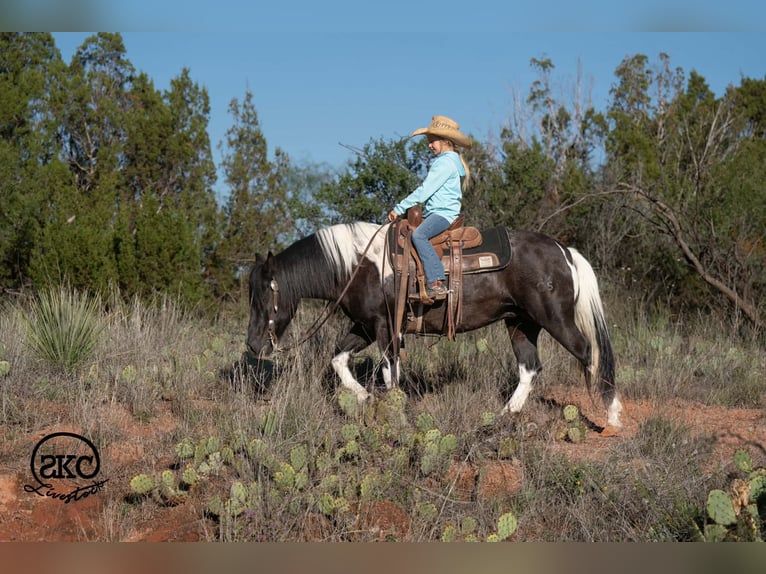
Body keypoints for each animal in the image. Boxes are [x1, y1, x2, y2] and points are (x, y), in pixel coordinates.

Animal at [246, 221, 623, 429]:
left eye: (264, 295)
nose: (253, 346)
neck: (358, 265)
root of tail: (564, 251)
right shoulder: (365, 326)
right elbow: (339, 360)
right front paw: (365, 398)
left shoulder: (385, 328)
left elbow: (390, 372)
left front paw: (395, 416)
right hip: (521, 323)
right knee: (529, 368)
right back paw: (504, 415)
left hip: (555, 318)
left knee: (589, 354)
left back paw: (612, 417)